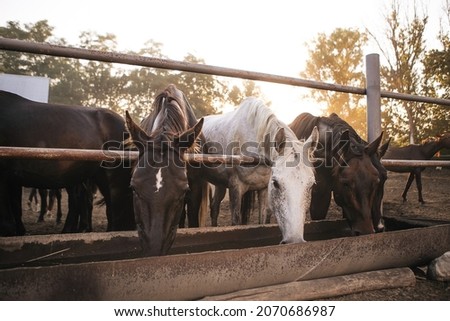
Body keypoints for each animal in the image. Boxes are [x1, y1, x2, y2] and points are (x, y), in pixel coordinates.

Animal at [200, 97, 320, 242]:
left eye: (311, 185)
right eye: (276, 183)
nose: (294, 240)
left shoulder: (263, 189)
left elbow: (262, 220)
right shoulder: (236, 187)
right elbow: (235, 221)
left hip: (220, 184)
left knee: (214, 207)